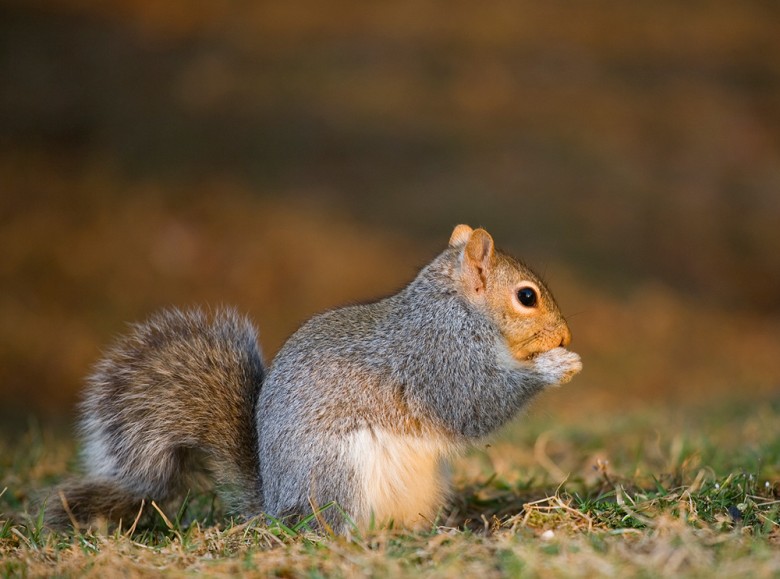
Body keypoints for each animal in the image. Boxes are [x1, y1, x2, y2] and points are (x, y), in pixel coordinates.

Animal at [46, 224, 582, 533]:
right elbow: (476, 403)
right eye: (527, 296)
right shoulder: (438, 359)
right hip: (338, 472)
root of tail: (274, 507)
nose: (566, 334)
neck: (455, 310)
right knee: (328, 526)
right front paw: (555, 366)